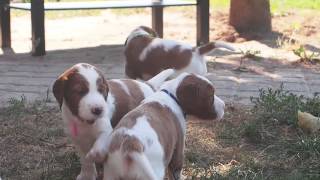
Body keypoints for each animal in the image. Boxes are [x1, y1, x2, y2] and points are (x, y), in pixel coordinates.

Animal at [86, 72, 224, 179]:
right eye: (211, 95)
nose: (224, 105)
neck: (171, 95)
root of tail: (130, 144)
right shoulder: (178, 150)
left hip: (112, 174)